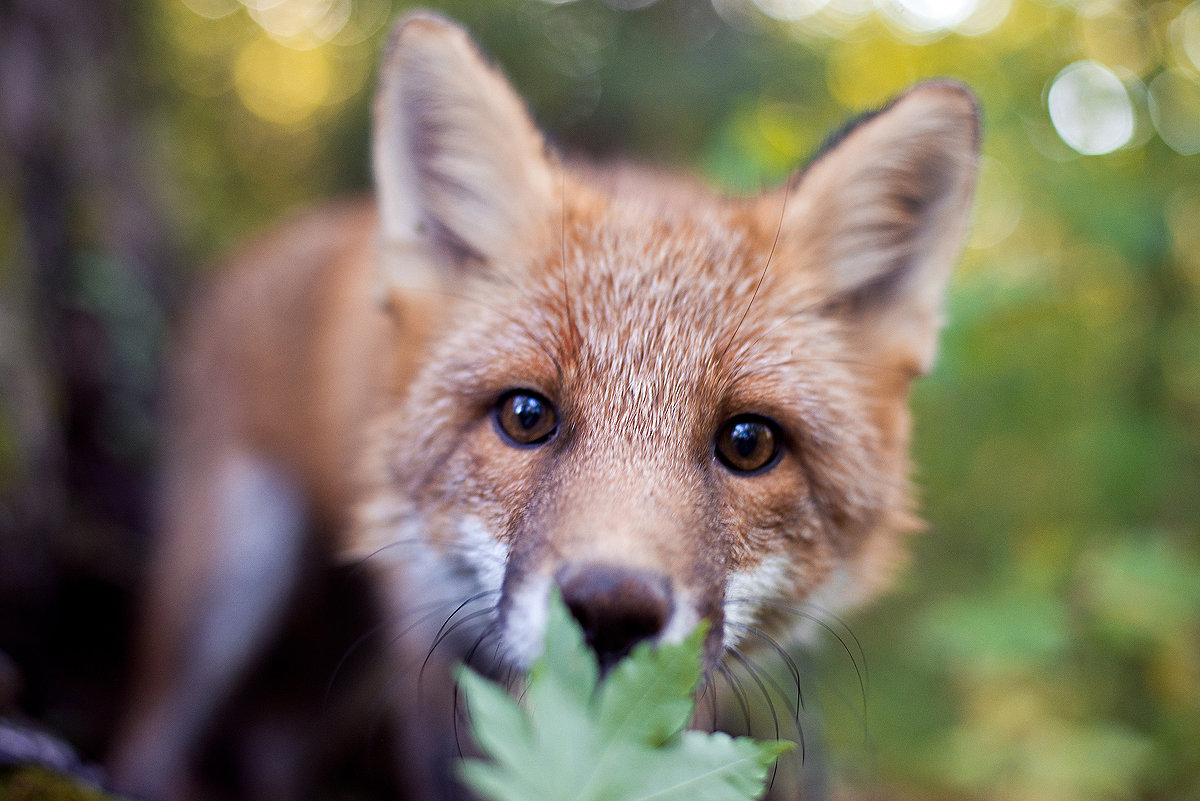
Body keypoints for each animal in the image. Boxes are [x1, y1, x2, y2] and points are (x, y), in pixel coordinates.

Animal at [110, 7, 974, 801]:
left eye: (749, 442)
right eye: (525, 416)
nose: (612, 612)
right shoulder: (424, 630)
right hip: (228, 584)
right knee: (153, 732)